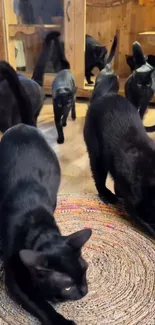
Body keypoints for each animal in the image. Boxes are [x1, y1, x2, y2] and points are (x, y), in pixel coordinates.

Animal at [0, 123, 92, 324]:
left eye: (85, 271)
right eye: (67, 287)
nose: (84, 292)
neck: (38, 227)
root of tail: (22, 126)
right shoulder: (14, 277)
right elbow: (40, 304)